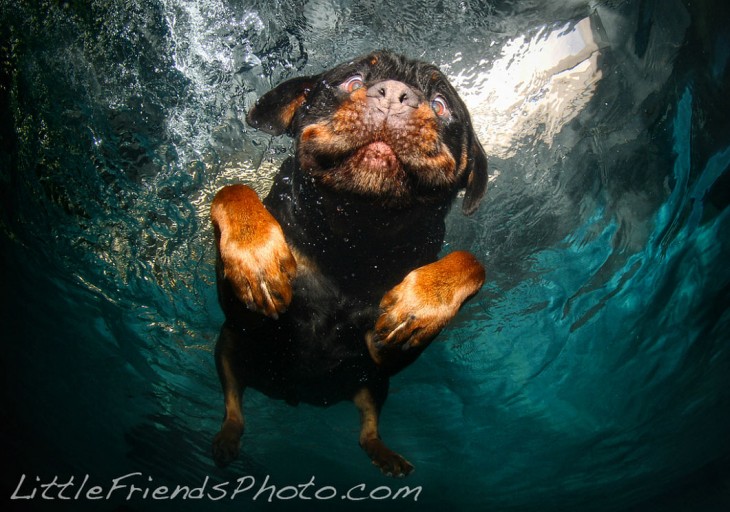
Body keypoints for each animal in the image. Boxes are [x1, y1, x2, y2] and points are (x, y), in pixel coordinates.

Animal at [208, 51, 486, 476]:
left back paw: (384, 454)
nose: (395, 94)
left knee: (367, 428)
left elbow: (472, 262)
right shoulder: (245, 319)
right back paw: (227, 438)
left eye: (441, 106)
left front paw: (420, 304)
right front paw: (255, 256)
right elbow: (231, 189)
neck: (355, 237)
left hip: (373, 384)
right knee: (232, 404)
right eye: (352, 81)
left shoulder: (387, 357)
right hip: (228, 348)